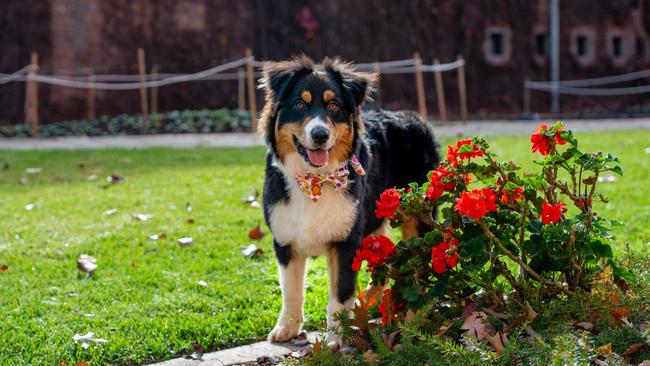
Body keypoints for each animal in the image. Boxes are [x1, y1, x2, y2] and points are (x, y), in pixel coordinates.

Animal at [256, 55, 438, 344]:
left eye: (333, 106)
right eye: (299, 104)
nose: (320, 135)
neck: (315, 181)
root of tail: (415, 116)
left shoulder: (346, 242)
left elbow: (340, 295)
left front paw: (336, 338)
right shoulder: (285, 241)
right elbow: (291, 290)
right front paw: (287, 328)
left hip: (417, 218)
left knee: (415, 266)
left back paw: (412, 313)